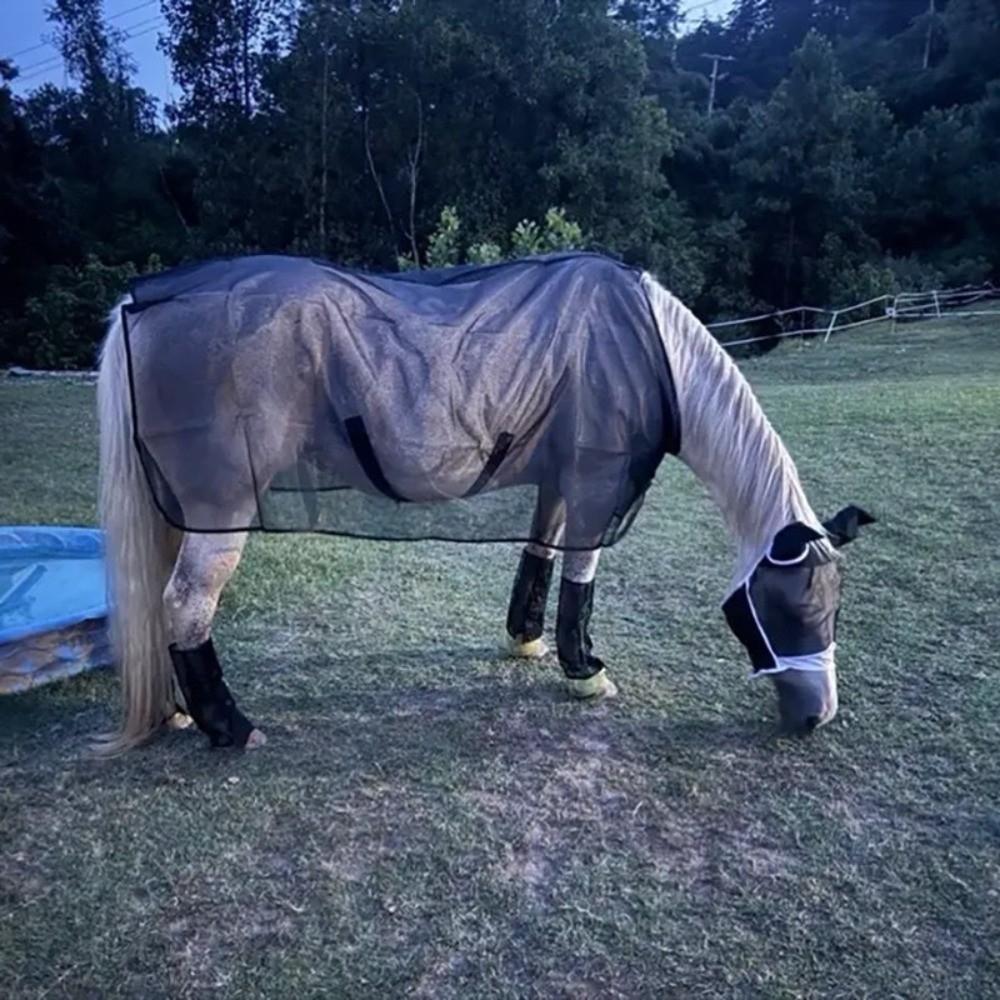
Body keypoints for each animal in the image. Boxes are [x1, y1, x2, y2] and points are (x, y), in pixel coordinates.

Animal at [95, 252, 873, 752]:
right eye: (799, 608)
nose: (817, 717)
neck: (651, 348)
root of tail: (141, 303)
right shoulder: (596, 484)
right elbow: (582, 576)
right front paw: (585, 673)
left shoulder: (558, 480)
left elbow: (540, 555)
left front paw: (526, 641)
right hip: (219, 510)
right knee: (185, 604)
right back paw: (230, 728)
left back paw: (181, 714)